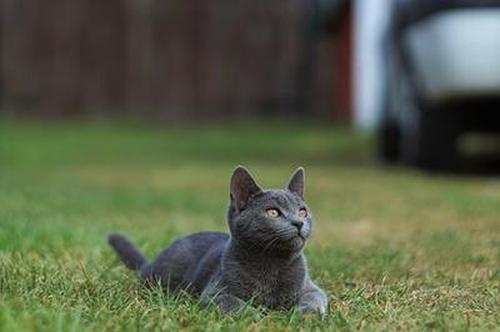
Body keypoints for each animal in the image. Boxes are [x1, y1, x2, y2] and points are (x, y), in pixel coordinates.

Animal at [109, 167, 326, 316]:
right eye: (273, 212)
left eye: (302, 211)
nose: (298, 222)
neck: (272, 264)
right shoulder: (215, 293)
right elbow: (234, 303)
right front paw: (256, 316)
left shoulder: (312, 288)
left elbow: (314, 299)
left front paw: (304, 315)